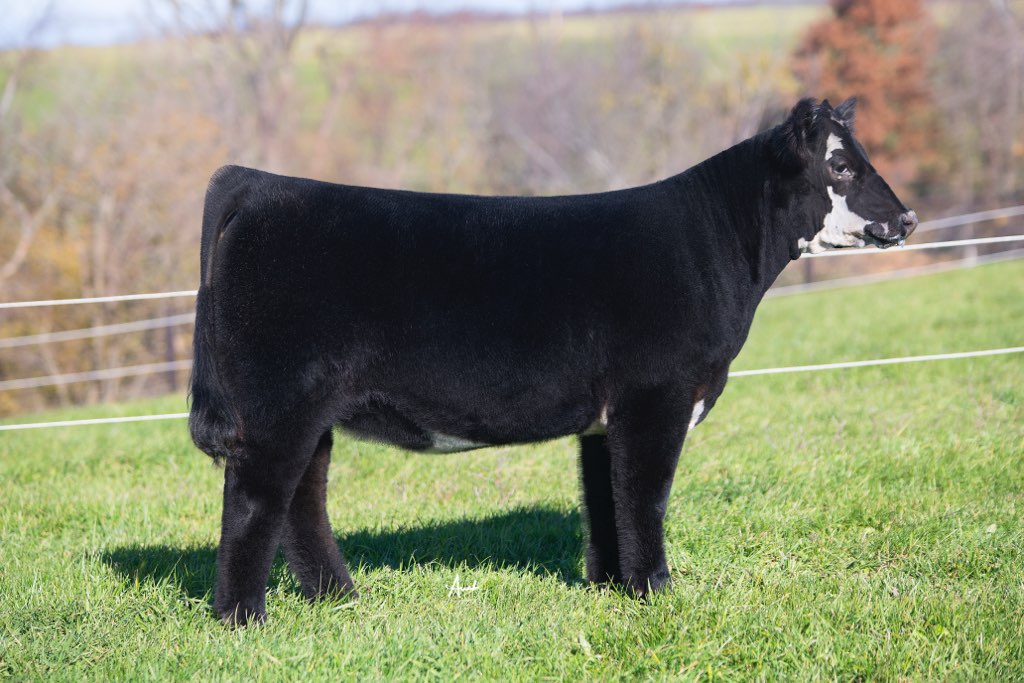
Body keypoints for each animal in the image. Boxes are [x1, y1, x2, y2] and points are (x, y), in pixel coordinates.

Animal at [189, 97, 917, 625]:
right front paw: (657, 591)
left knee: (302, 498)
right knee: (255, 499)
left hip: (309, 411)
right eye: (841, 167)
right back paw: (243, 618)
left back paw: (338, 598)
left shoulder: (609, 416)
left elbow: (607, 499)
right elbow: (646, 496)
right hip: (279, 405)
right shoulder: (657, 397)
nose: (907, 219)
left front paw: (611, 587)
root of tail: (255, 182)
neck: (720, 246)